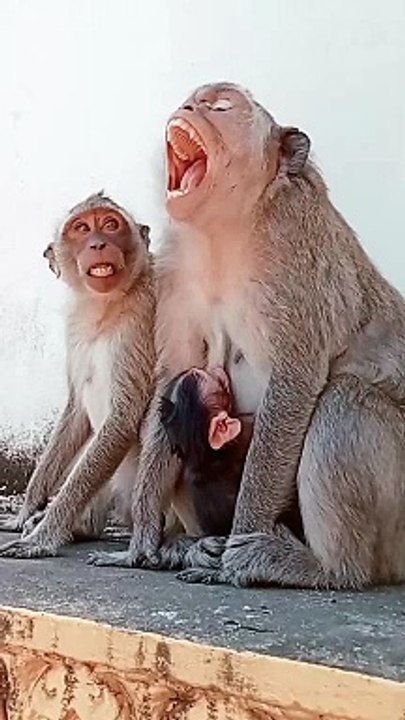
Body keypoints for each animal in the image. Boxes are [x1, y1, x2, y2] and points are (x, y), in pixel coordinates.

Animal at [0, 191, 156, 558]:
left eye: (110, 224)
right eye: (82, 228)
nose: (98, 243)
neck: (104, 308)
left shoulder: (138, 323)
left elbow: (123, 419)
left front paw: (42, 536)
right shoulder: (74, 327)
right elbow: (75, 412)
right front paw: (27, 512)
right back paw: (80, 527)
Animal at [88, 82, 405, 591]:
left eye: (221, 105)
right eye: (196, 99)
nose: (189, 106)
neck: (228, 228)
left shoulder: (294, 257)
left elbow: (296, 379)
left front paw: (240, 541)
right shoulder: (175, 266)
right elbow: (175, 375)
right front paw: (143, 544)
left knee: (343, 398)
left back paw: (326, 568)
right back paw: (186, 547)